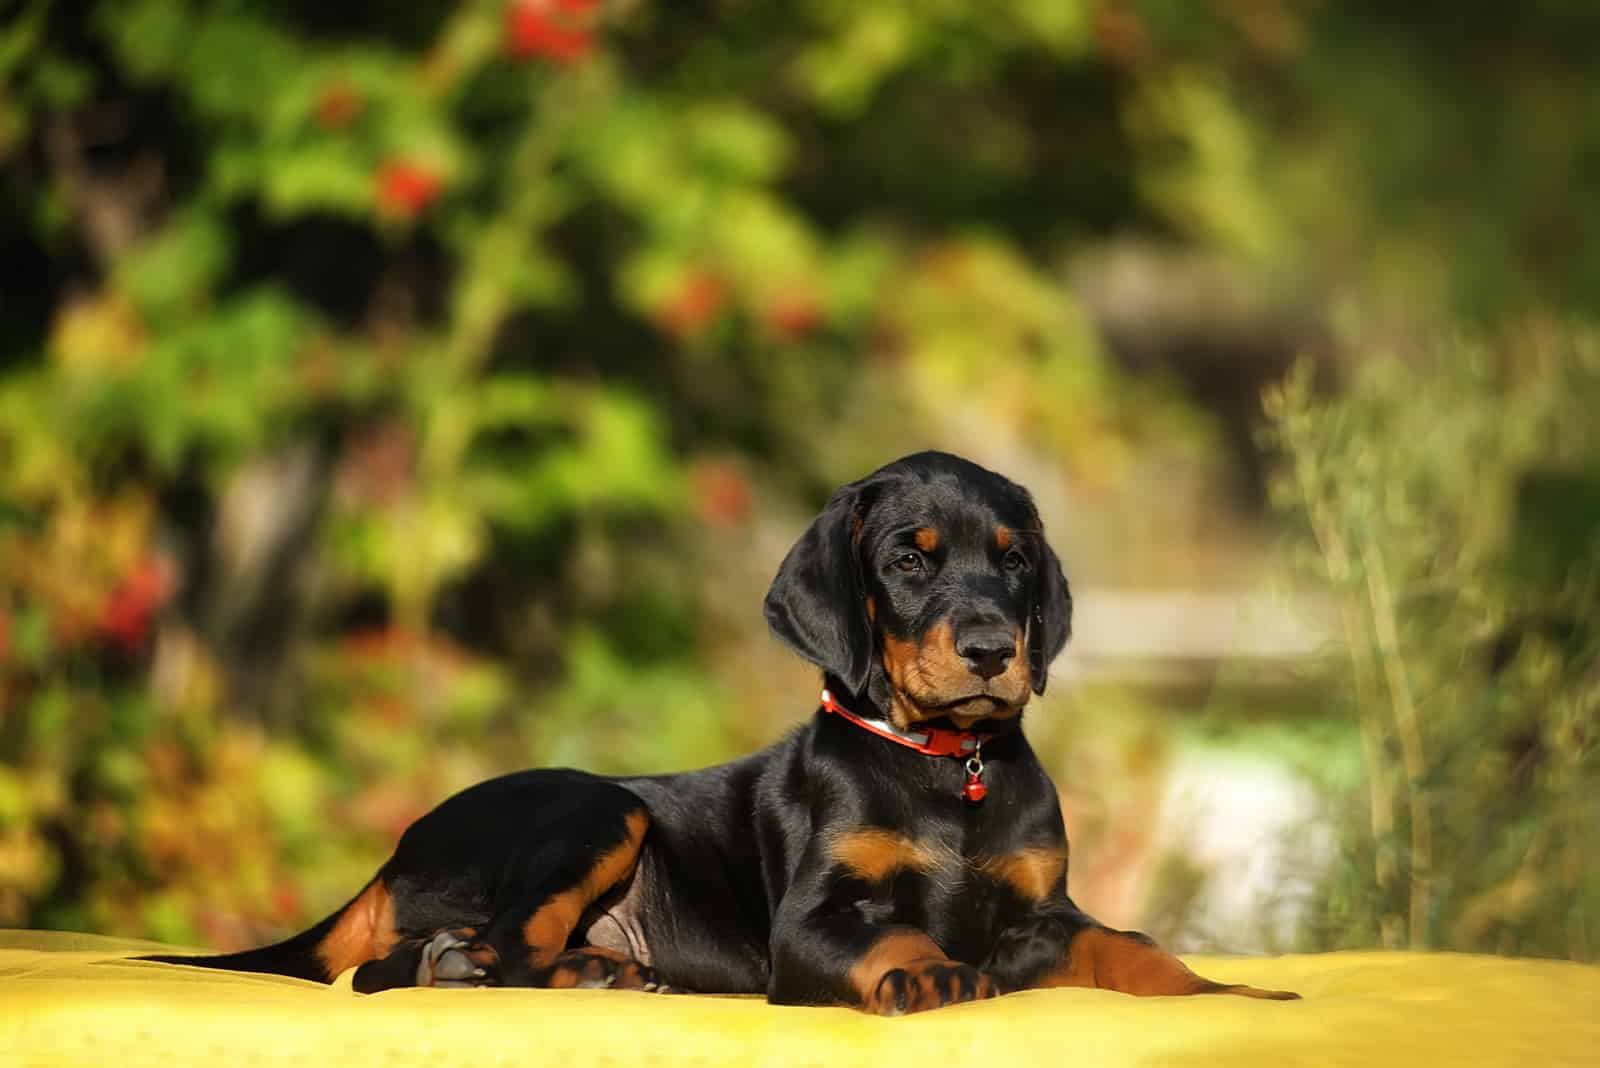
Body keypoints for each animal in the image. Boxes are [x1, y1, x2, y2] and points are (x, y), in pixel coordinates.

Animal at [140, 454, 1299, 1016]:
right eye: (909, 560)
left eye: (1013, 560)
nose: (987, 650)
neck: (943, 765)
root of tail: (396, 851)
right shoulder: (811, 921)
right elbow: (890, 934)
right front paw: (928, 974)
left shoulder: (1040, 913)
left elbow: (1127, 943)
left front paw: (1228, 991)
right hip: (598, 806)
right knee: (476, 950)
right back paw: (517, 973)